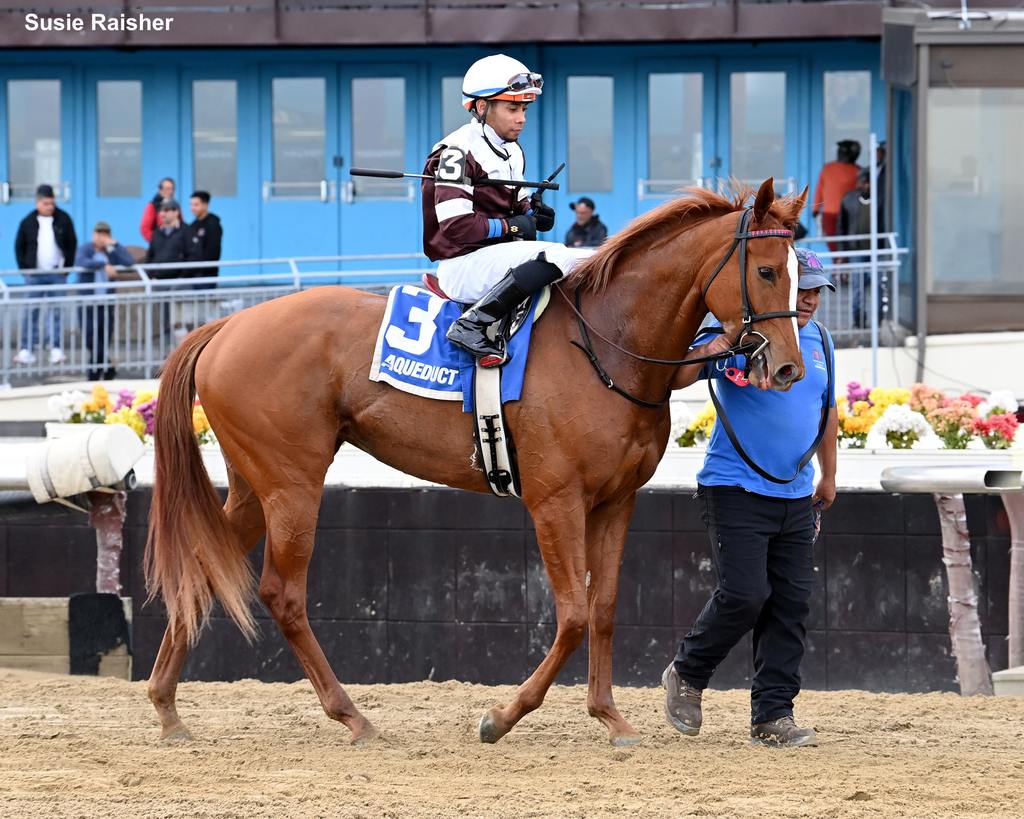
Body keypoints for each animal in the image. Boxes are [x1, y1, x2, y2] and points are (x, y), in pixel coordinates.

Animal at [144, 181, 806, 749]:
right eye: (767, 270)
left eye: (800, 272)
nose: (787, 369)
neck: (606, 343)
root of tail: (228, 324)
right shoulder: (555, 501)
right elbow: (572, 615)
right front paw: (502, 716)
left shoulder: (617, 500)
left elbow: (604, 609)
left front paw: (610, 717)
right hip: (292, 485)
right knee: (281, 594)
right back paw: (353, 717)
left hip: (254, 487)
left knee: (204, 568)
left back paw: (167, 709)